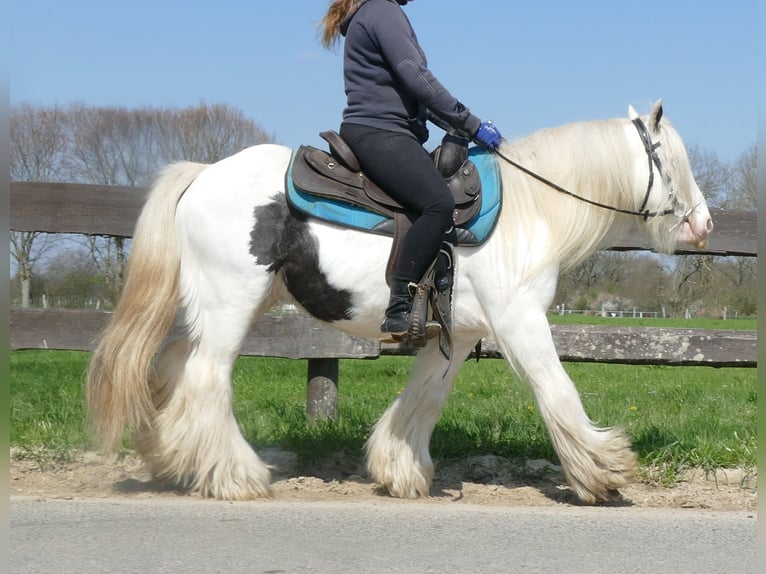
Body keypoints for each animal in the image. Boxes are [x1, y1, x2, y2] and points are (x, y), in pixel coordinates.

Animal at [87, 101, 716, 506]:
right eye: (672, 161)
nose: (704, 224)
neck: (529, 210)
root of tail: (202, 176)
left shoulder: (459, 334)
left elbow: (424, 399)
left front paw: (400, 471)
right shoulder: (519, 321)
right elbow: (556, 390)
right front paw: (602, 473)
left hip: (223, 308)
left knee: (170, 366)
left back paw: (170, 458)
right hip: (229, 308)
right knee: (205, 379)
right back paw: (235, 476)